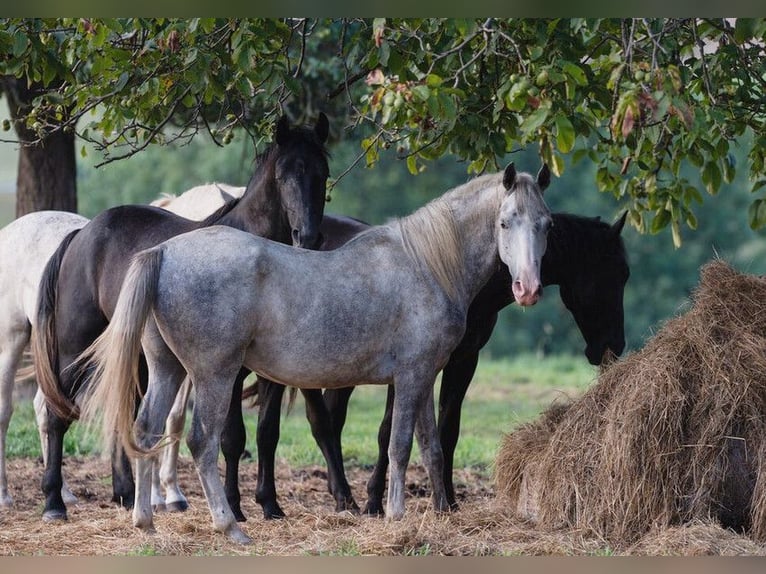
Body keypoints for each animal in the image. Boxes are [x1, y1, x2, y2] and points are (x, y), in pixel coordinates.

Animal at [33, 111, 330, 520]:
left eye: (322, 173)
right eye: (284, 174)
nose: (308, 237)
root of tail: (81, 234)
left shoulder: (272, 374)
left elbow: (267, 434)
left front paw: (270, 504)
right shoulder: (228, 370)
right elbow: (231, 437)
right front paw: (233, 507)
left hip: (135, 357)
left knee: (123, 413)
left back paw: (126, 494)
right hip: (74, 349)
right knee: (55, 413)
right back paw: (54, 502)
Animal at [232, 209, 632, 520]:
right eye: (614, 274)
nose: (613, 347)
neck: (456, 270)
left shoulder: (462, 361)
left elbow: (447, 430)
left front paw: (448, 500)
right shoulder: (409, 368)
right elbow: (388, 432)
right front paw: (376, 500)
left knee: (322, 422)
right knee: (279, 425)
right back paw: (273, 503)